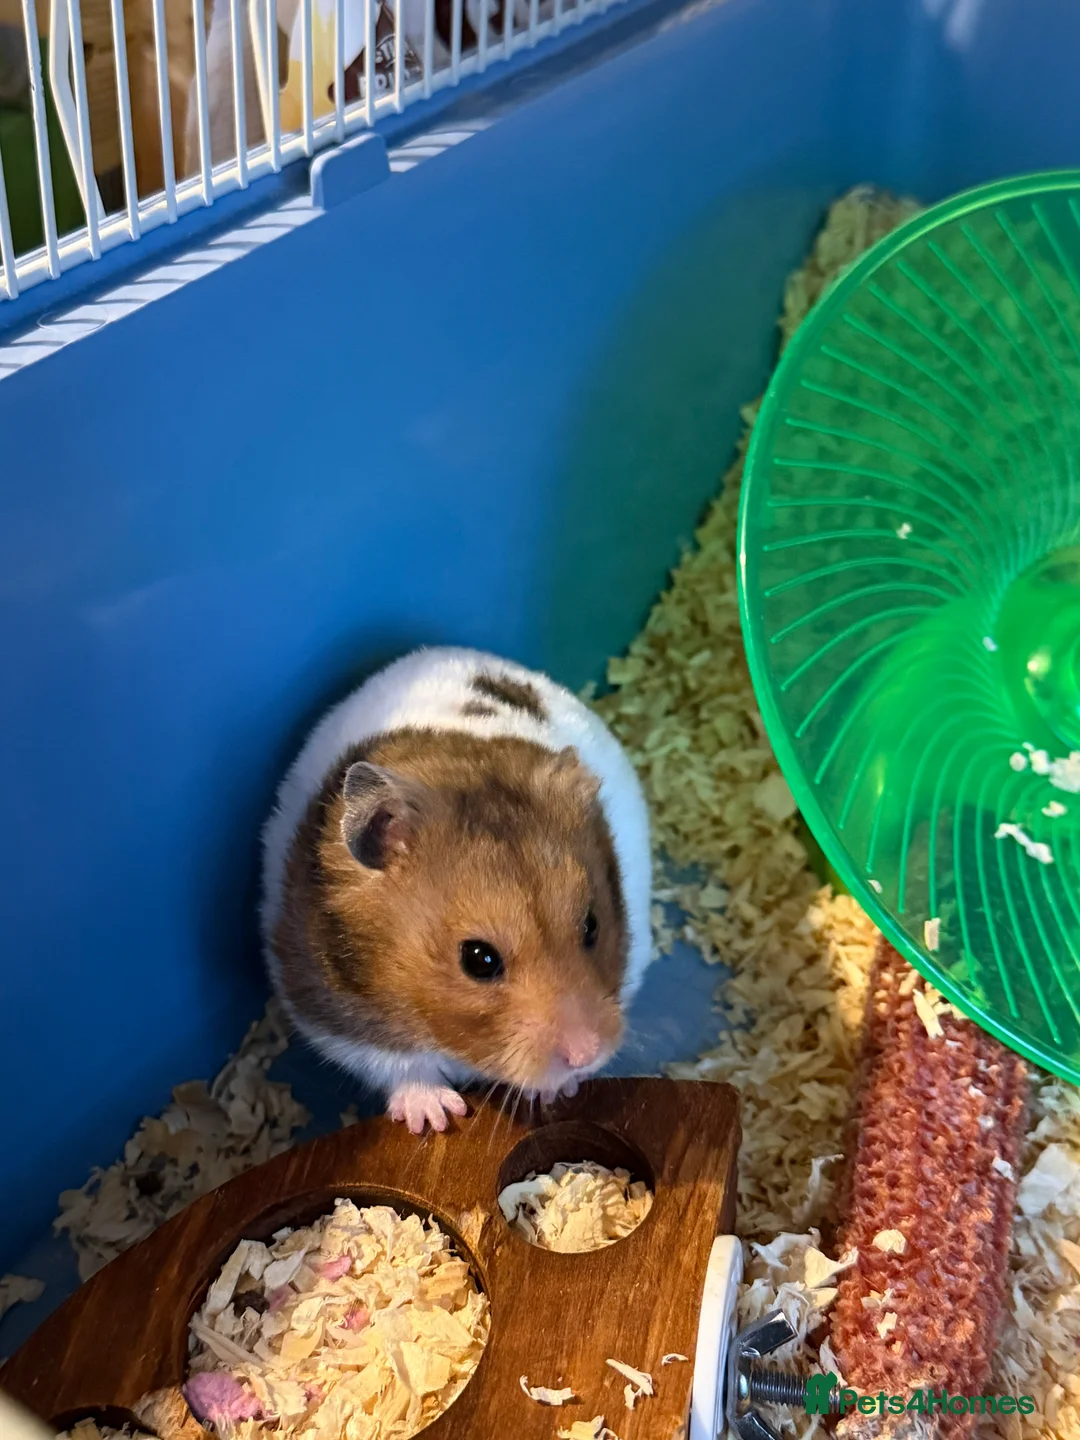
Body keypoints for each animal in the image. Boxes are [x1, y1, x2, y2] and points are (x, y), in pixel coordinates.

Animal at [261, 647, 652, 1134]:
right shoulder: (331, 1013)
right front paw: (437, 1119)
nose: (588, 1055)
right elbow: (400, 1065)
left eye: (592, 926)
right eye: (478, 960)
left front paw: (554, 1092)